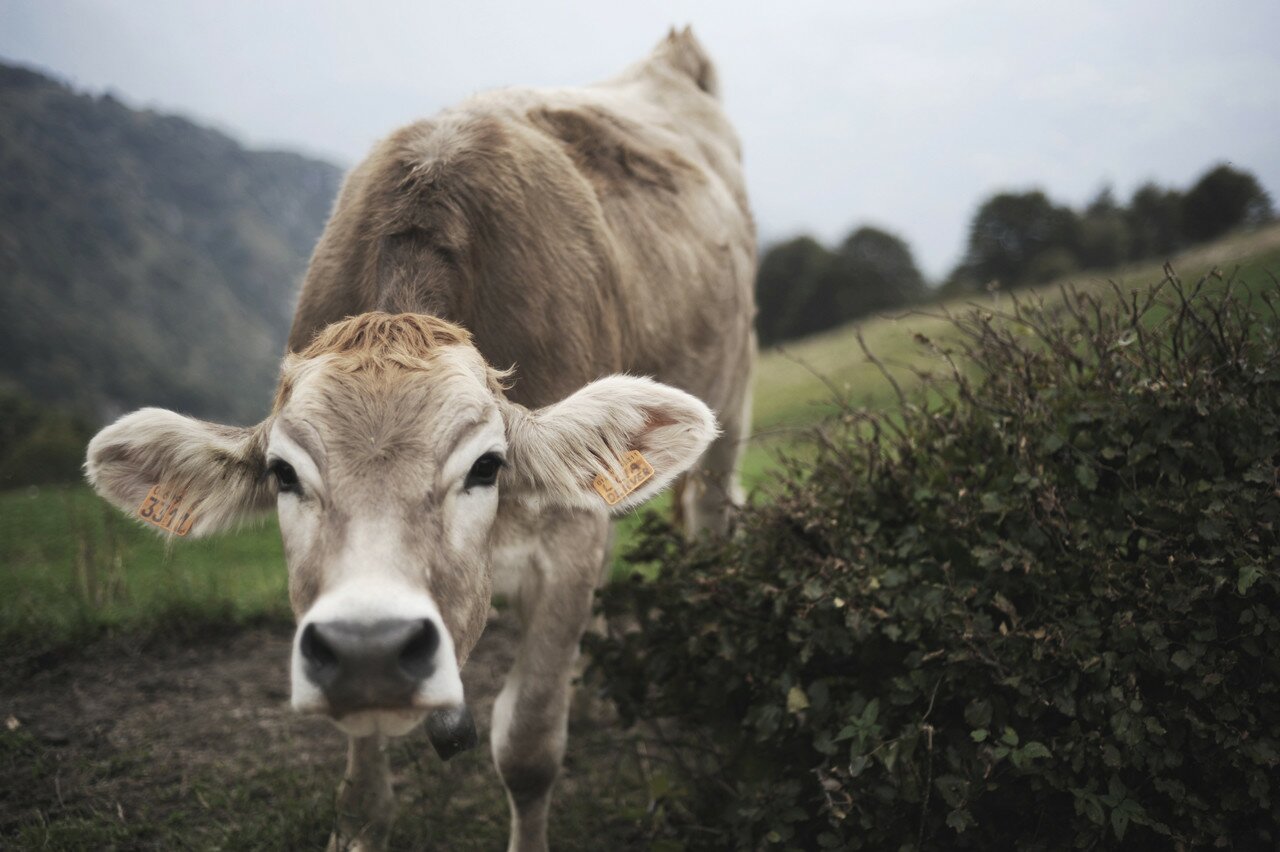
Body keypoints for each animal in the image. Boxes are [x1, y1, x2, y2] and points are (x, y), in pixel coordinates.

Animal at [85, 26, 752, 849]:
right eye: (283, 474)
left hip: (733, 395)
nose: (370, 647)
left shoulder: (570, 537)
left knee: (714, 511)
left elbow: (528, 748)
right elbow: (361, 792)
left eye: (488, 466)